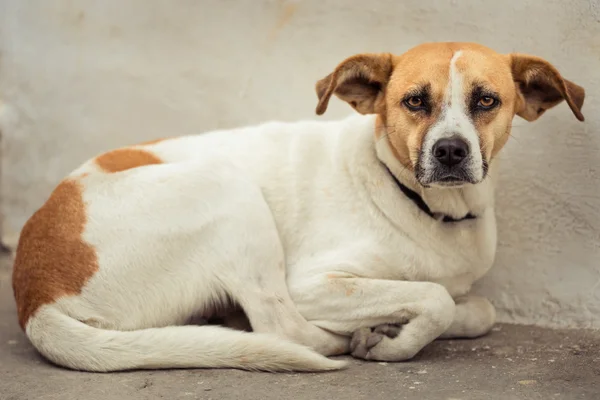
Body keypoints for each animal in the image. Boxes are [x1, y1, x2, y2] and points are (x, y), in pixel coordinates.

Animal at [11, 41, 584, 372]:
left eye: (486, 100)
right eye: (414, 101)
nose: (449, 151)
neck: (430, 208)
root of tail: (34, 294)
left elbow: (479, 309)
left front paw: (403, 327)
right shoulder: (313, 283)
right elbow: (435, 298)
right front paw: (392, 342)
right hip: (228, 188)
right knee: (280, 327)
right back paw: (339, 338)